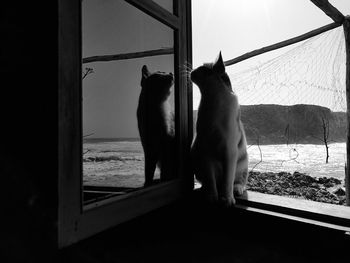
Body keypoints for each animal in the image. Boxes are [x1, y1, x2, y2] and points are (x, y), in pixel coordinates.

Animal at [190, 52, 247, 207]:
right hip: (195, 154)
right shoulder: (205, 151)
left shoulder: (229, 150)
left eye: (202, 69)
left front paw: (227, 200)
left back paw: (236, 190)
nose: (191, 71)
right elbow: (210, 180)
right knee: (211, 181)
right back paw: (205, 190)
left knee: (237, 181)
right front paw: (212, 197)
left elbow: (228, 180)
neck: (213, 102)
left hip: (241, 162)